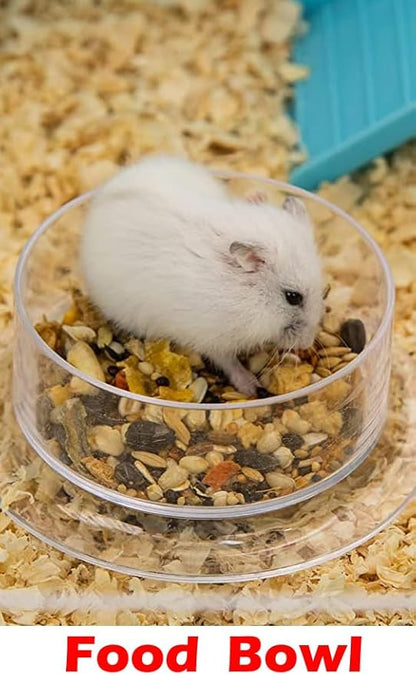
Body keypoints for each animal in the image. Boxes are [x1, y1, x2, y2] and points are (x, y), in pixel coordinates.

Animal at [81, 155, 324, 396]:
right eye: (293, 297)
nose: (307, 343)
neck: (247, 293)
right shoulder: (213, 338)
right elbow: (228, 362)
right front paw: (252, 387)